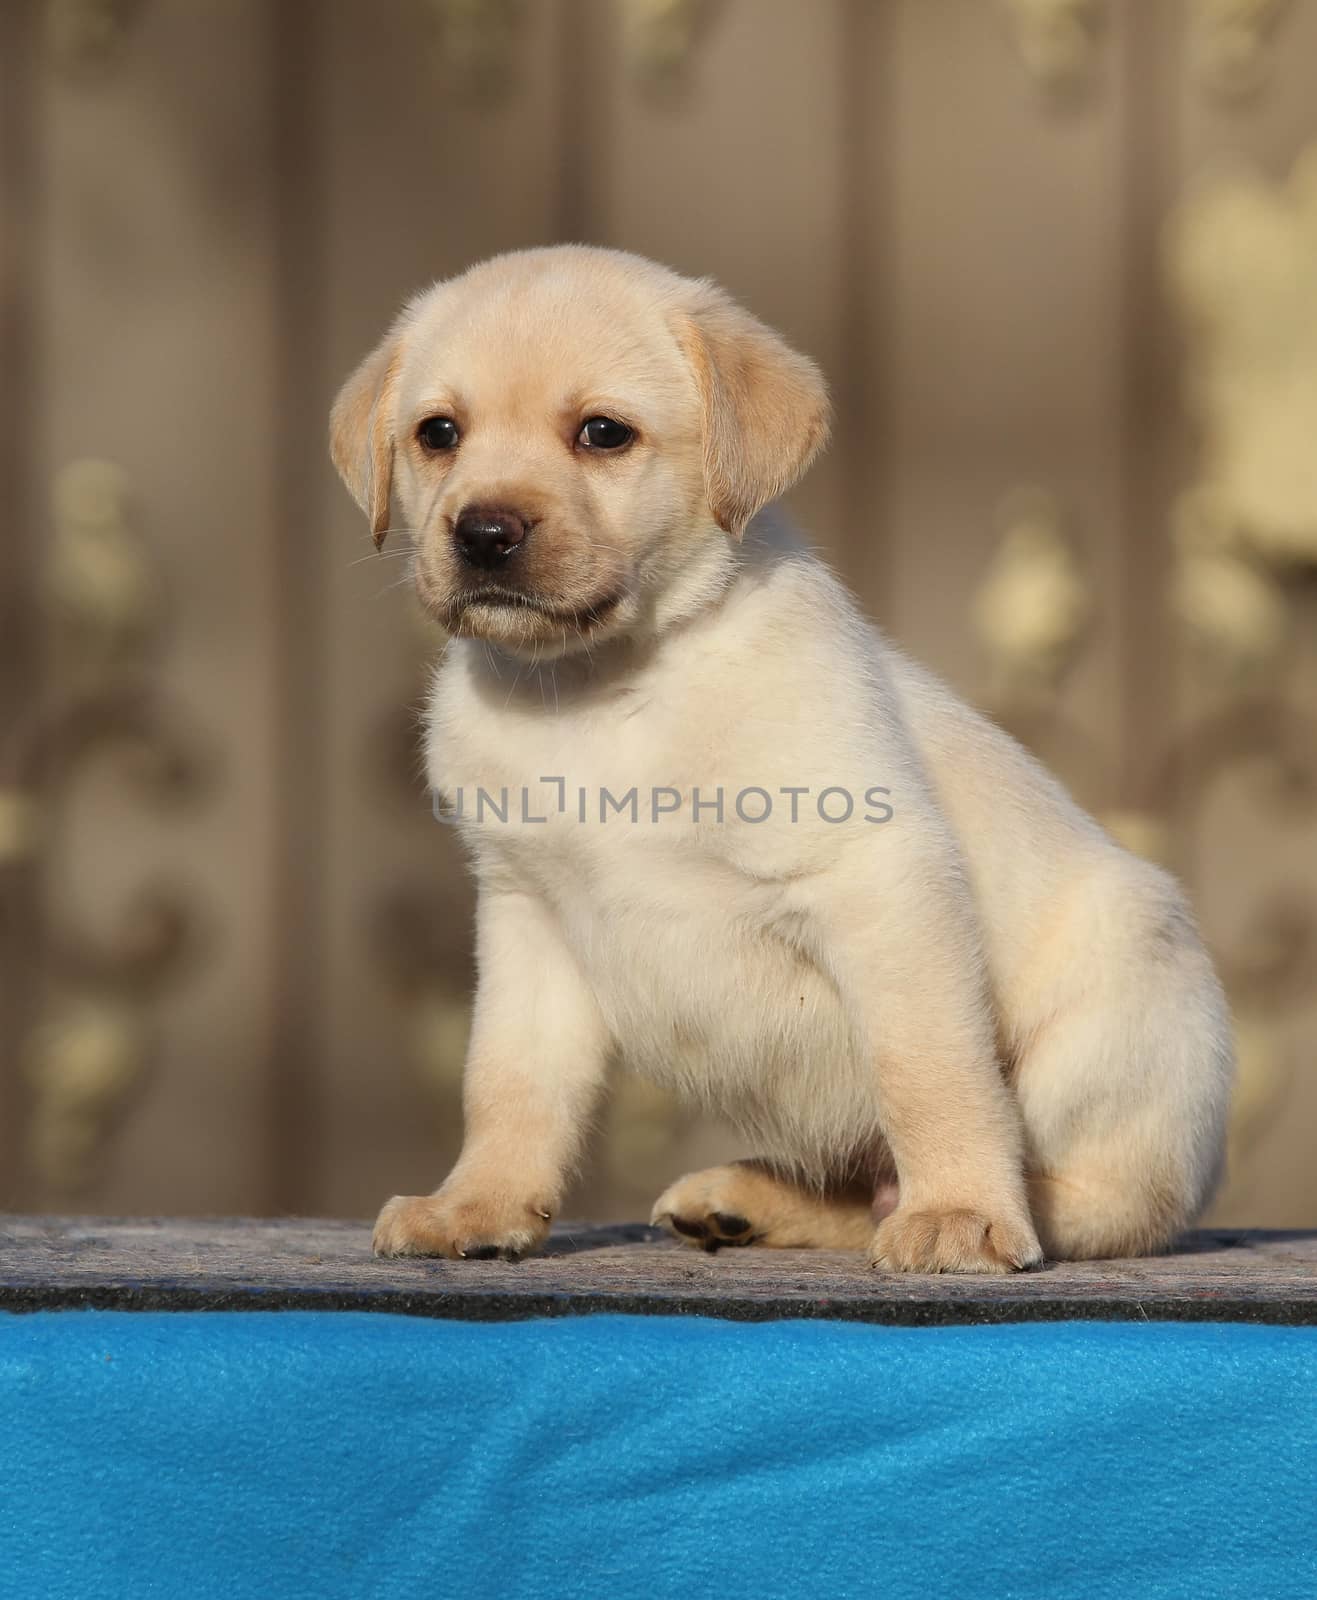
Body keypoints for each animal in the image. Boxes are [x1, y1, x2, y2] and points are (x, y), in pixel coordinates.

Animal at [332, 243, 1235, 1267]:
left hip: (1116, 1003)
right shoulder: (528, 913)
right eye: (438, 433)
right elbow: (508, 1083)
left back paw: (962, 1208)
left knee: (1104, 1201)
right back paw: (743, 1203)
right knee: (865, 1195)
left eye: (602, 433)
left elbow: (929, 1072)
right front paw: (476, 1206)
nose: (483, 533)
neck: (601, 686)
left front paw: (960, 1211)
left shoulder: (878, 875)